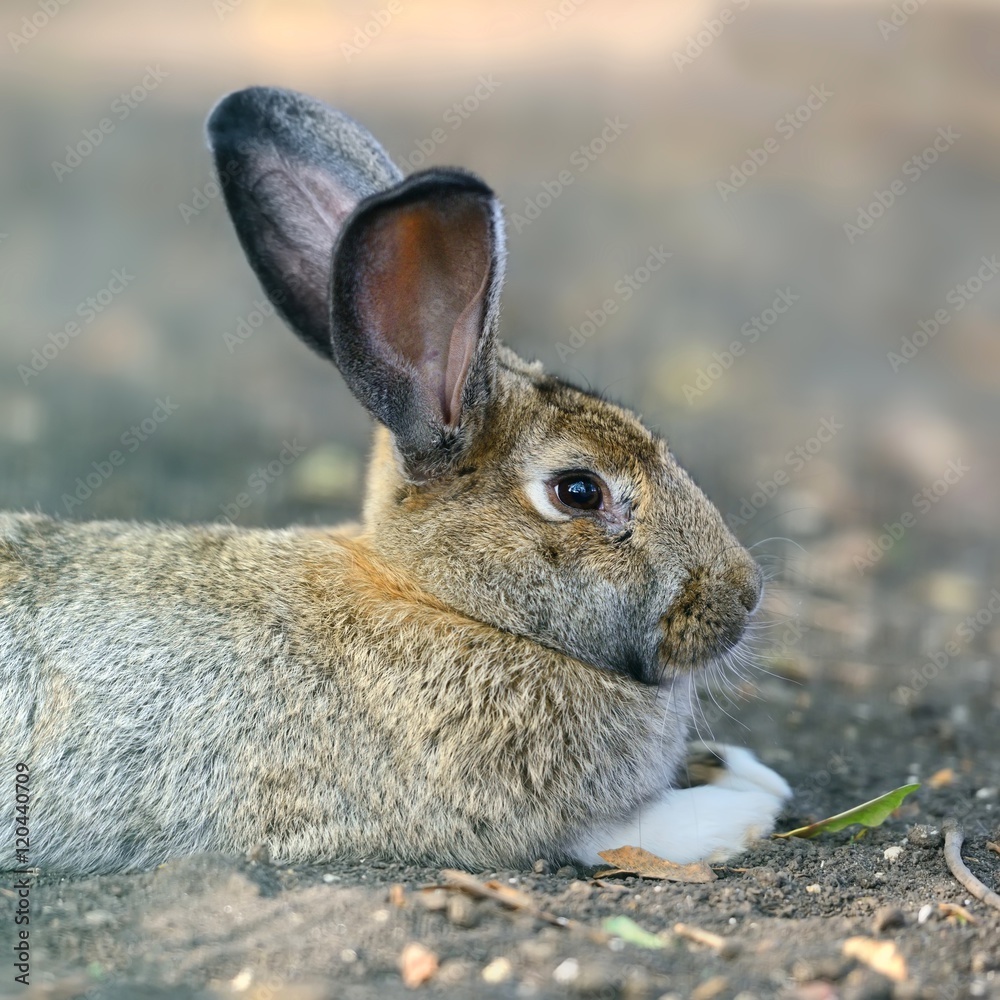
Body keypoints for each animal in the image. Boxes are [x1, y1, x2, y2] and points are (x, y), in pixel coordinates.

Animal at [0, 88, 788, 876]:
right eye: (579, 492)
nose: (745, 594)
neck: (441, 600)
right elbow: (620, 829)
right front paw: (747, 810)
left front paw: (742, 769)